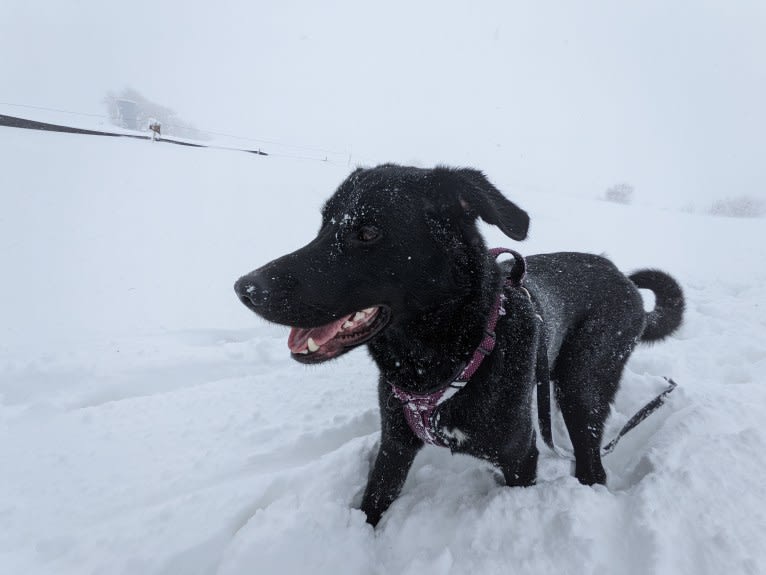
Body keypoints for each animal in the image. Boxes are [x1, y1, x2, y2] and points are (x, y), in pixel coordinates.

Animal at [237, 165, 688, 528]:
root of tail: (622, 277)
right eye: (324, 224)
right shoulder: (395, 444)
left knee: (592, 458)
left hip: (583, 384)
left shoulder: (520, 457)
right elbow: (373, 502)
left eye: (367, 232)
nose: (245, 288)